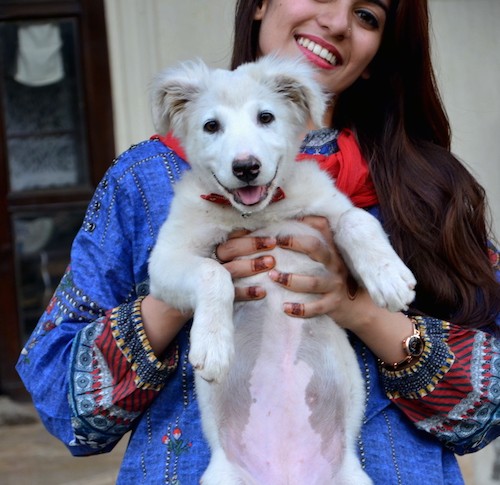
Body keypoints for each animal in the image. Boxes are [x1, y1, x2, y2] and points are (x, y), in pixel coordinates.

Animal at [148, 54, 414, 482]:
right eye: (211, 126)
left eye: (266, 117)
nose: (246, 167)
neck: (260, 213)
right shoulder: (166, 261)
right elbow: (214, 273)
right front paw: (213, 344)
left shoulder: (328, 211)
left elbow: (358, 220)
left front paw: (388, 277)